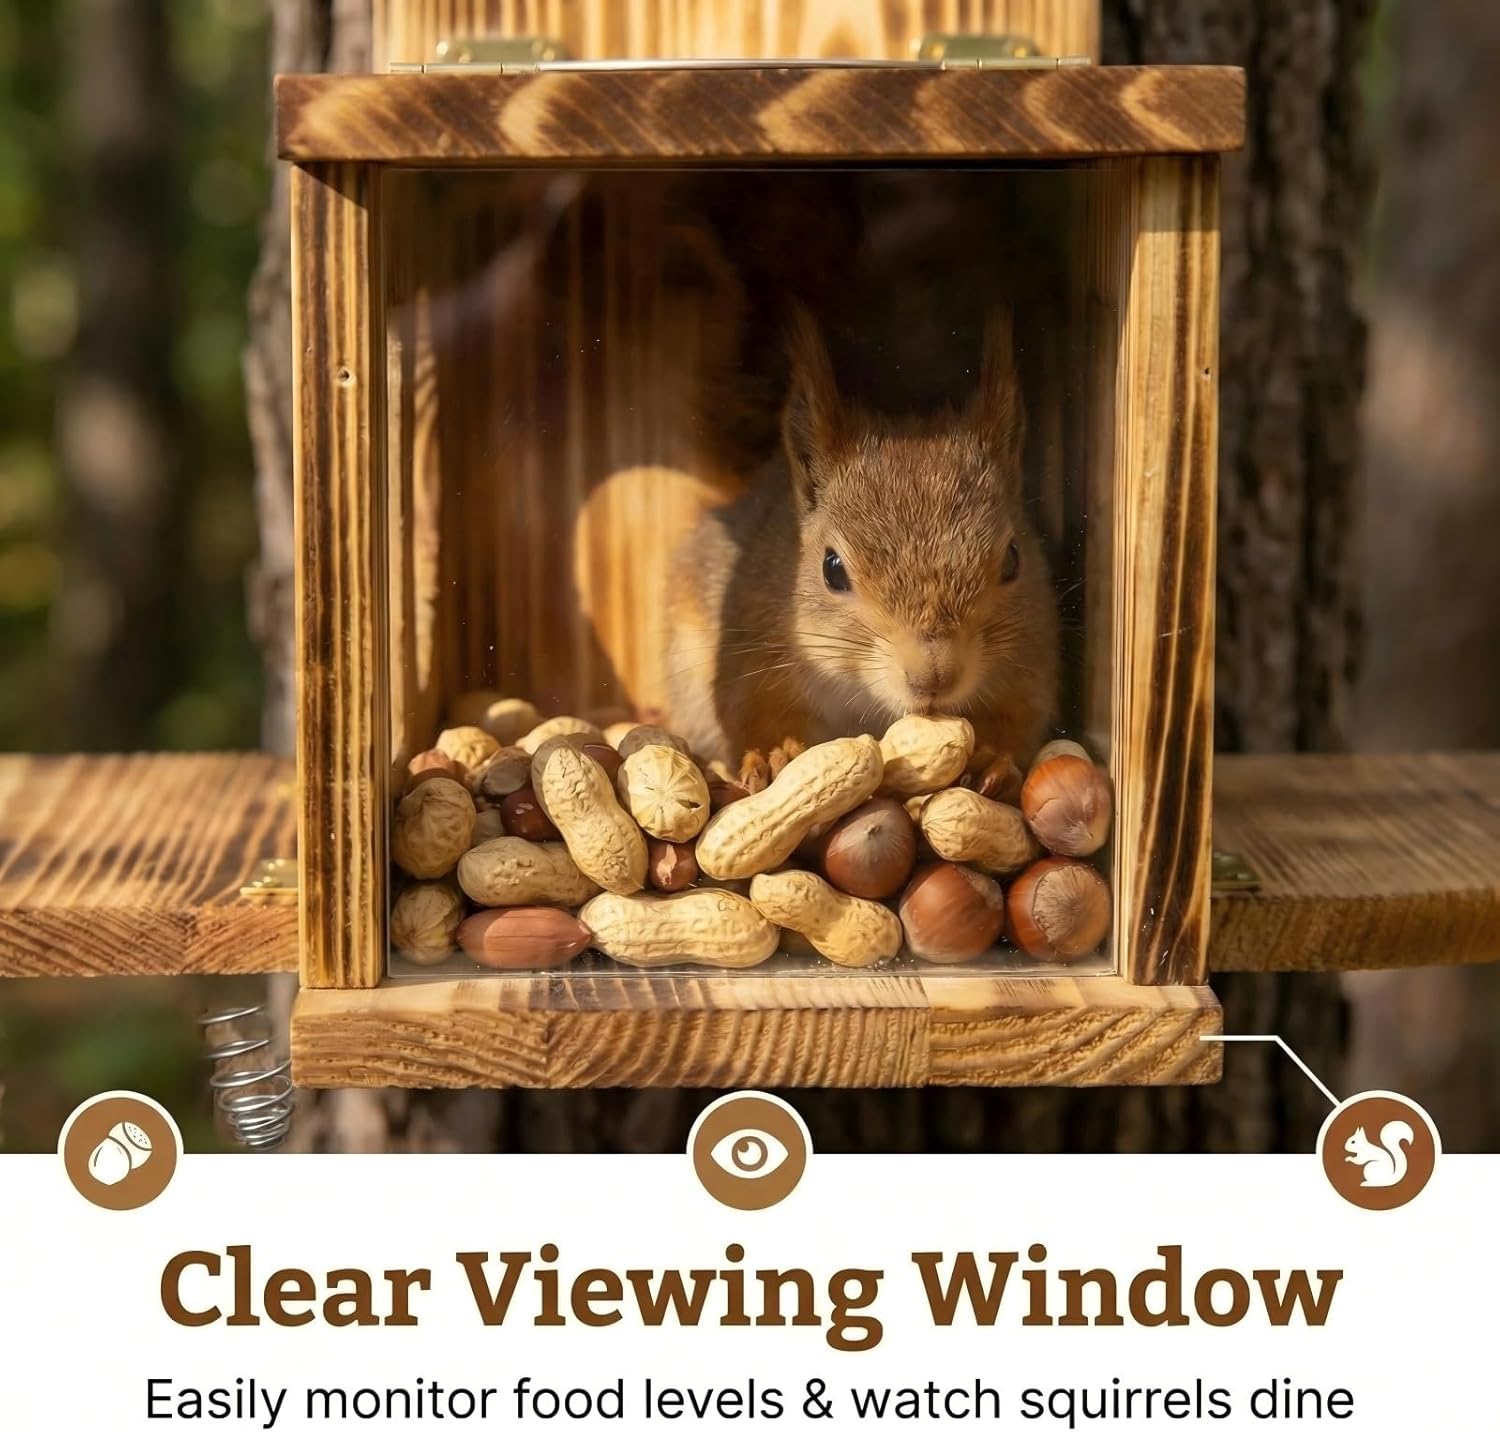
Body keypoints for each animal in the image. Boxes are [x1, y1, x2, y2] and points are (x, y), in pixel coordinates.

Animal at [664, 307, 1058, 769]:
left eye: (1013, 560)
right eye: (832, 569)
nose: (934, 675)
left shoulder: (1028, 661)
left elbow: (1018, 717)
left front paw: (992, 755)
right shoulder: (753, 650)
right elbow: (753, 715)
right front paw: (780, 751)